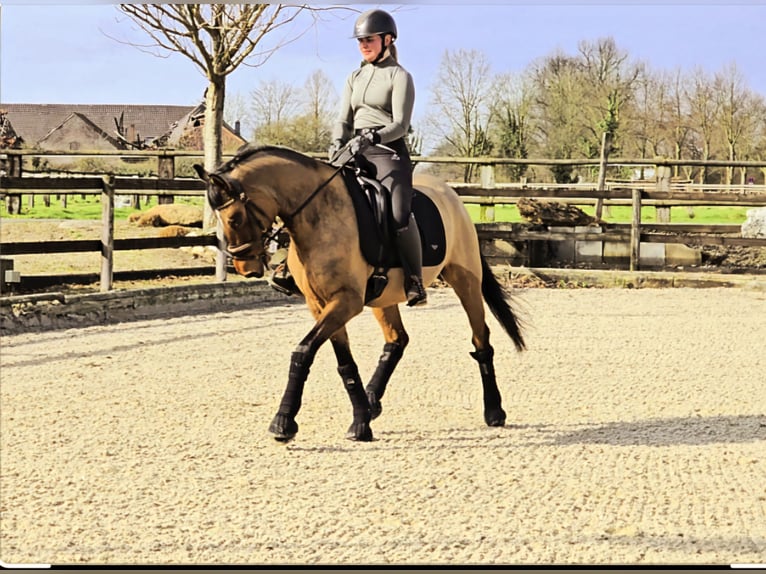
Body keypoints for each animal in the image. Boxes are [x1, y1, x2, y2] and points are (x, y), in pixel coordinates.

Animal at [195, 146, 524, 444]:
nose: (244, 267)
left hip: (464, 279)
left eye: (234, 219)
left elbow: (303, 350)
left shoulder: (346, 301)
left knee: (481, 338)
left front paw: (283, 422)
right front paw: (361, 421)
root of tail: (451, 194)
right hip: (385, 297)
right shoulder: (320, 304)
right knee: (397, 341)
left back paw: (494, 411)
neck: (319, 215)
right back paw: (371, 401)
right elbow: (344, 364)